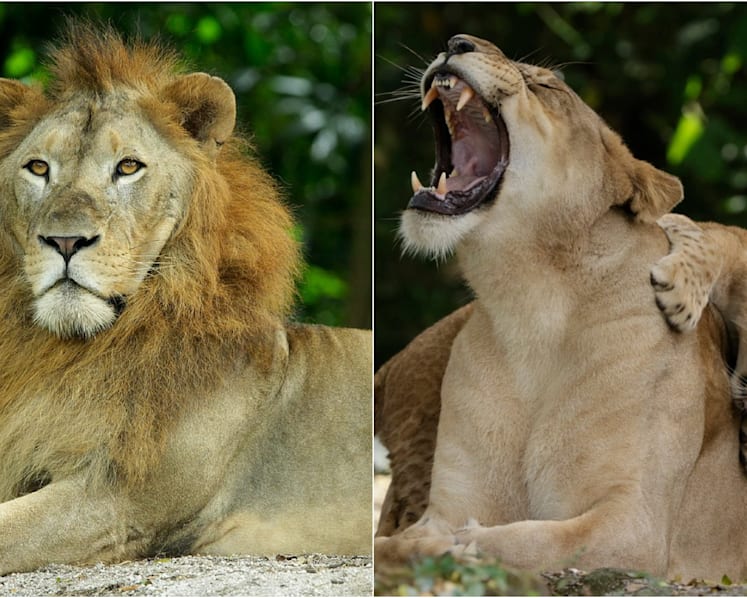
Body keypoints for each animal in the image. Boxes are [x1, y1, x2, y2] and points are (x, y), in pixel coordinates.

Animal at [375, 34, 747, 581]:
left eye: (546, 85)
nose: (456, 41)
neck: (530, 307)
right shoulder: (447, 504)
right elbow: (393, 544)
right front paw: (431, 549)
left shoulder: (635, 526)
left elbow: (535, 541)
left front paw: (465, 546)